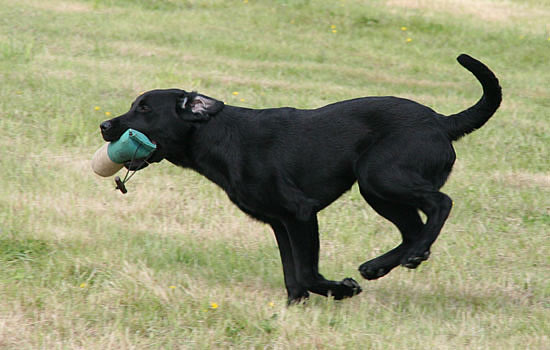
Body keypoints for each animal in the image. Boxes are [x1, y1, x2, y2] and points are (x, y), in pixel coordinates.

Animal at [100, 54, 504, 304]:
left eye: (145, 109)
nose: (104, 125)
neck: (221, 137)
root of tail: (441, 121)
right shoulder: (280, 222)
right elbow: (292, 275)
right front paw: (297, 307)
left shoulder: (300, 213)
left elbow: (307, 273)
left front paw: (341, 290)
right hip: (380, 191)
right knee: (412, 229)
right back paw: (379, 266)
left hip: (379, 176)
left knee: (440, 204)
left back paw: (409, 256)